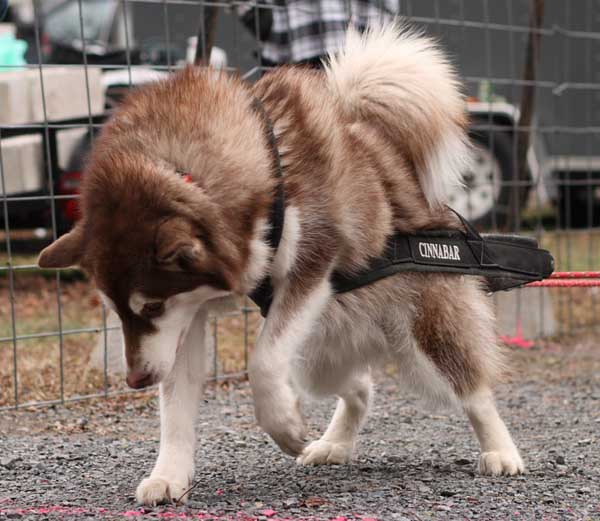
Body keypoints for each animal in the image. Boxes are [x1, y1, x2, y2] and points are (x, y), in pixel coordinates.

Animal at [39, 23, 524, 504]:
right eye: (114, 311)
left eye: (151, 306)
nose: (136, 379)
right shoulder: (187, 318)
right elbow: (176, 402)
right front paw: (170, 473)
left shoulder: (311, 264)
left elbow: (264, 363)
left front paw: (284, 426)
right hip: (320, 356)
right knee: (360, 387)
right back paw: (333, 443)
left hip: (424, 335)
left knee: (471, 388)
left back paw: (500, 450)